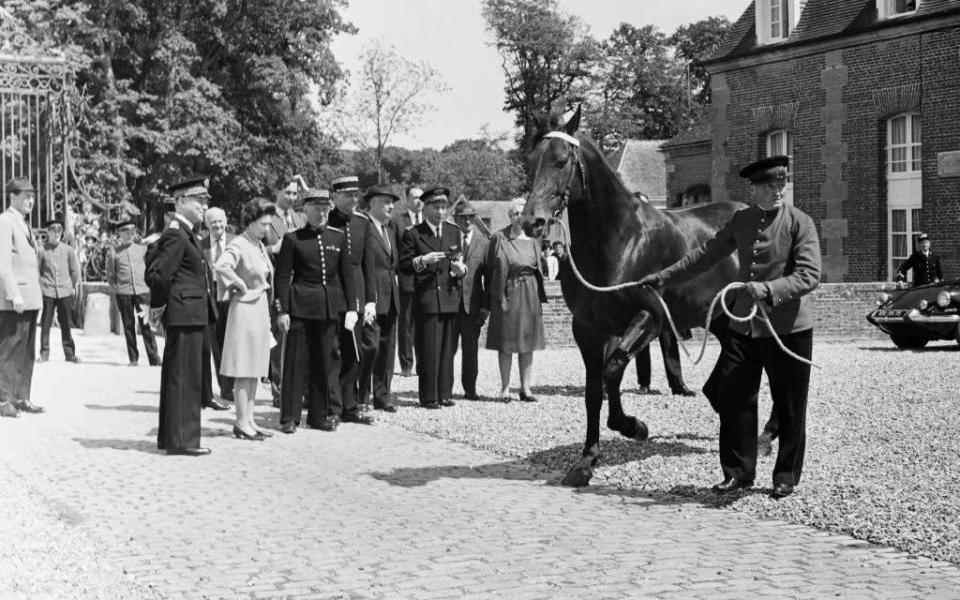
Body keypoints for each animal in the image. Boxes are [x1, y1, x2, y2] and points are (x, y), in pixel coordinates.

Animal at [524, 108, 744, 486]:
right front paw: (586, 460)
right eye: (531, 160)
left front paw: (633, 426)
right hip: (719, 317)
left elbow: (613, 369)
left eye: (561, 160)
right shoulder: (588, 328)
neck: (622, 240)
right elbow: (594, 388)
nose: (531, 222)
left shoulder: (650, 319)